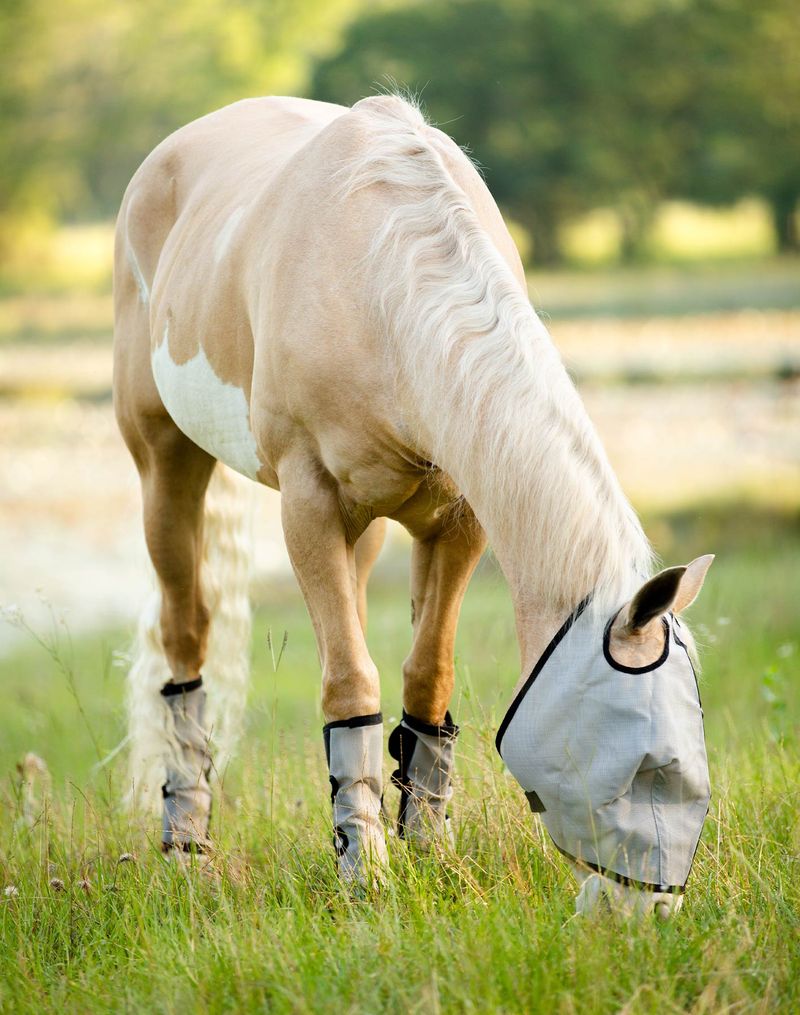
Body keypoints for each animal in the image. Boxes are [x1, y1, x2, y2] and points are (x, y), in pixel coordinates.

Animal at [114, 96, 710, 921]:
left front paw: (429, 850)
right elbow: (349, 684)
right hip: (164, 463)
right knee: (186, 634)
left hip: (360, 531)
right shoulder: (307, 503)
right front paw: (364, 871)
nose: (647, 915)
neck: (379, 279)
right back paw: (186, 846)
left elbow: (426, 675)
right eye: (647, 763)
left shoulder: (461, 518)